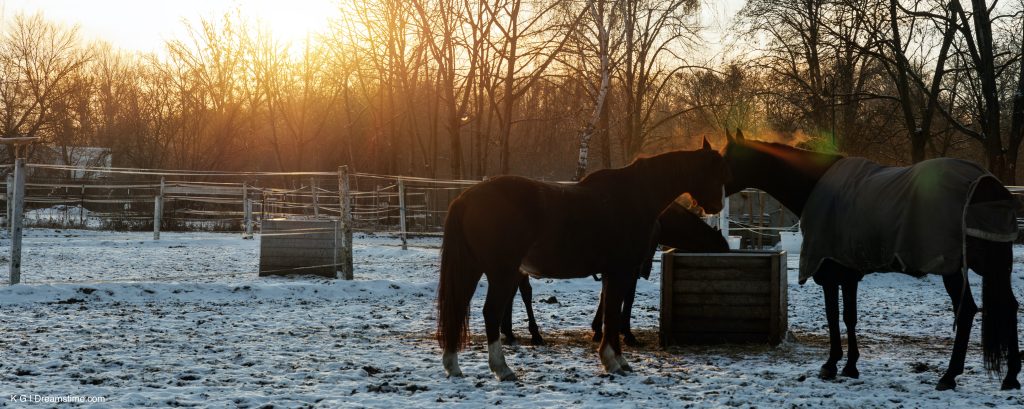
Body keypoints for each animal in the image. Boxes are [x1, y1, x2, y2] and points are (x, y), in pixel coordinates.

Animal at [498, 202, 730, 348]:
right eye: (720, 250)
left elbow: (607, 296)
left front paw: (599, 329)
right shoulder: (629, 269)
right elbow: (626, 298)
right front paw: (625, 333)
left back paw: (509, 332)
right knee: (523, 294)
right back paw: (531, 334)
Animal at [722, 129, 1021, 391]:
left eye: (728, 156)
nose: (714, 191)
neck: (818, 185)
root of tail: (988, 184)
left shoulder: (828, 270)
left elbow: (833, 315)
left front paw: (831, 365)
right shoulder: (848, 272)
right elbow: (849, 317)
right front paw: (850, 366)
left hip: (954, 267)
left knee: (967, 310)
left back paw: (949, 376)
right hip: (994, 264)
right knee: (1009, 306)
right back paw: (1010, 377)